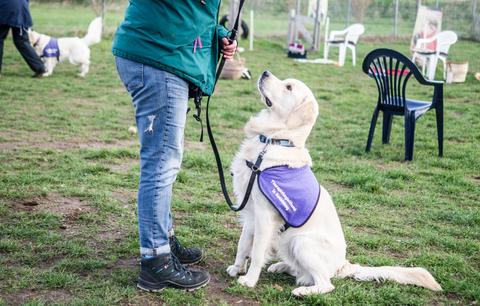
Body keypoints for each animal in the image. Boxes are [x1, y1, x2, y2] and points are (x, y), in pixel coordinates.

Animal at [227, 70, 440, 296]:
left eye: (289, 87)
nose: (265, 72)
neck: (272, 142)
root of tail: (343, 265)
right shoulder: (250, 212)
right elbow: (243, 244)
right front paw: (237, 268)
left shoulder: (265, 217)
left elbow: (257, 251)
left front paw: (249, 280)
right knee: (302, 272)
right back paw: (282, 266)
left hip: (301, 241)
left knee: (326, 283)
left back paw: (303, 291)